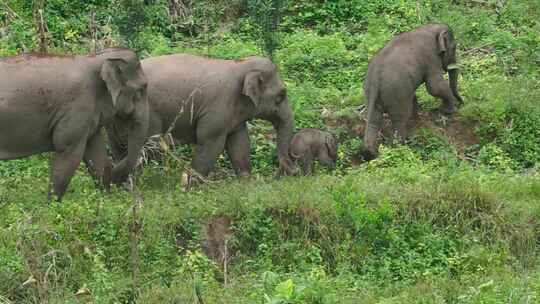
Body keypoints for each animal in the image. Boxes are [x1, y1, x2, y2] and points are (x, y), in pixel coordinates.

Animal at [0, 48, 149, 201]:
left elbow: (98, 157)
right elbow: (69, 154)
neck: (94, 58)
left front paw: (105, 201)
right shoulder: (78, 106)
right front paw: (52, 205)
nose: (123, 186)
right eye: (141, 88)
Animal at [107, 54, 298, 178]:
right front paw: (193, 186)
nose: (295, 170)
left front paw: (246, 182)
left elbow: (239, 143)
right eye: (281, 95)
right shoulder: (217, 107)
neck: (239, 65)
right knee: (149, 146)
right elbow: (210, 144)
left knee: (120, 147)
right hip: (147, 112)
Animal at [360, 22, 462, 160]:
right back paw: (400, 148)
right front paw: (448, 111)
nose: (461, 102)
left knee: (374, 120)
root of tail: (375, 77)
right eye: (454, 47)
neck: (431, 27)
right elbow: (434, 86)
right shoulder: (431, 57)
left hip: (372, 93)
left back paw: (371, 154)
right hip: (396, 94)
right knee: (400, 120)